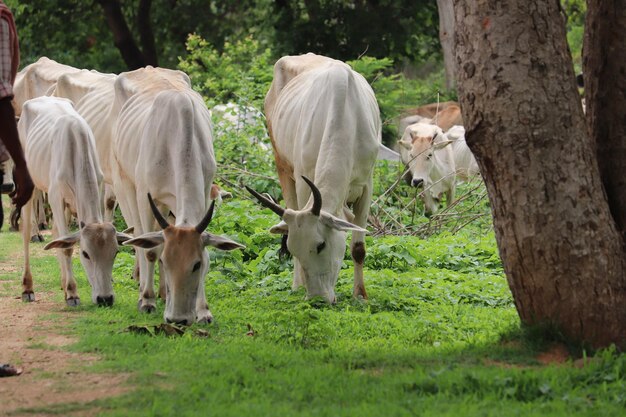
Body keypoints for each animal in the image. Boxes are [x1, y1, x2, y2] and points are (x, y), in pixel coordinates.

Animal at [17, 96, 129, 306]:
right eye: (85, 254)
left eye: (115, 252)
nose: (105, 299)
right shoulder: (55, 197)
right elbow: (67, 247)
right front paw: (72, 293)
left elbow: (62, 240)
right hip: (29, 182)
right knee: (27, 232)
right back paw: (28, 287)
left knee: (55, 234)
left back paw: (61, 282)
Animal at [110, 66, 244, 324]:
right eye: (166, 262)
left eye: (196, 265)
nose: (178, 319)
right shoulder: (146, 198)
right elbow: (151, 250)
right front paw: (147, 300)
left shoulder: (205, 192)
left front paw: (203, 311)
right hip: (124, 185)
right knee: (139, 238)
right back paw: (146, 290)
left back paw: (163, 293)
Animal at [246, 53, 378, 304]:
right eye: (294, 249)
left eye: (321, 245)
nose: (318, 299)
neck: (345, 113)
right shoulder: (303, 181)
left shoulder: (366, 185)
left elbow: (358, 248)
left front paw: (360, 295)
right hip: (282, 166)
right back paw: (296, 285)